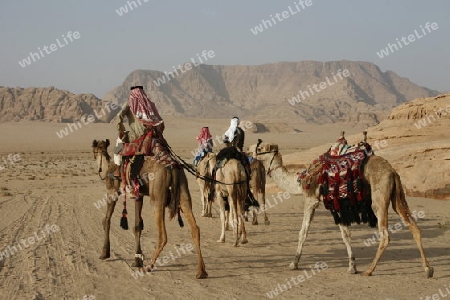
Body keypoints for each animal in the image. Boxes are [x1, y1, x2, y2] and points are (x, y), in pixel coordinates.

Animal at [93, 139, 209, 278]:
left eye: (94, 151)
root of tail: (173, 167)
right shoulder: (139, 195)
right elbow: (137, 226)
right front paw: (137, 260)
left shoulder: (112, 191)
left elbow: (106, 220)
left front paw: (104, 253)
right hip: (183, 191)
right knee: (195, 228)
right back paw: (201, 271)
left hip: (158, 197)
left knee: (163, 235)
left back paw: (149, 266)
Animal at [251, 141, 434, 278]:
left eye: (259, 148)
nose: (248, 150)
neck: (301, 180)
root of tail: (393, 172)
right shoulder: (337, 204)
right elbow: (346, 235)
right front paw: (352, 266)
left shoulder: (311, 199)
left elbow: (303, 233)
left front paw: (293, 264)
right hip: (397, 196)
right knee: (413, 226)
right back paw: (428, 269)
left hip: (379, 198)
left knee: (385, 235)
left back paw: (369, 270)